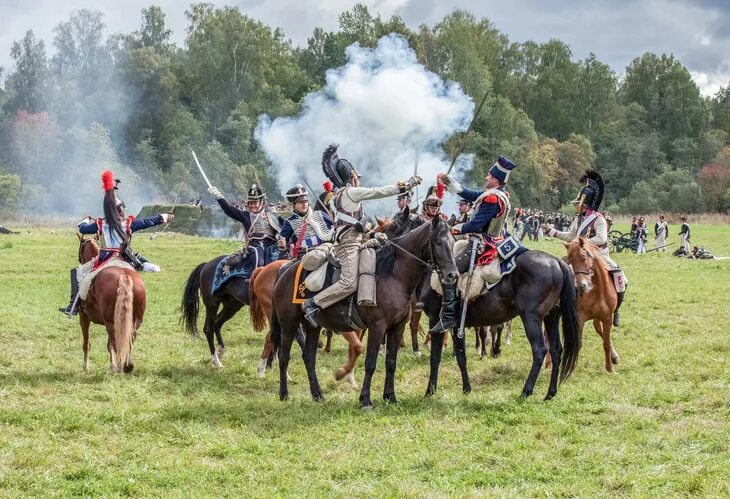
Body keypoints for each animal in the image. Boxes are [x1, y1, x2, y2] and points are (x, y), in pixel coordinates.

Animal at [76, 236, 146, 374]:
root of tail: (124, 276)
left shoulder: (84, 318)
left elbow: (87, 343)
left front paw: (86, 366)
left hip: (110, 322)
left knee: (115, 342)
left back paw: (116, 367)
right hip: (135, 320)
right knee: (130, 336)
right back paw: (127, 365)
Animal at [270, 217, 458, 408]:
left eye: (453, 242)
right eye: (438, 242)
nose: (452, 275)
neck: (392, 276)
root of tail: (285, 271)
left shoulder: (397, 327)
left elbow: (391, 362)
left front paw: (390, 396)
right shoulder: (377, 327)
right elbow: (371, 363)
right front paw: (365, 399)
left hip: (312, 326)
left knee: (309, 357)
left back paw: (317, 394)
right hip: (289, 324)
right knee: (284, 356)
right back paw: (284, 393)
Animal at [420, 244, 580, 400]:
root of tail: (557, 262)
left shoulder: (437, 321)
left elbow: (436, 357)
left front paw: (430, 391)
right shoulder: (456, 326)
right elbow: (460, 356)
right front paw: (466, 389)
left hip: (531, 318)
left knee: (539, 350)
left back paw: (526, 392)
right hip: (551, 317)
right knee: (556, 350)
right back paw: (550, 393)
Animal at [544, 240, 620, 374]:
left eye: (584, 257)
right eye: (571, 260)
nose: (581, 286)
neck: (598, 291)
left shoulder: (607, 317)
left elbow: (606, 342)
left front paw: (610, 368)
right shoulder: (580, 318)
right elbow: (577, 344)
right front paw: (570, 370)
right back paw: (548, 364)